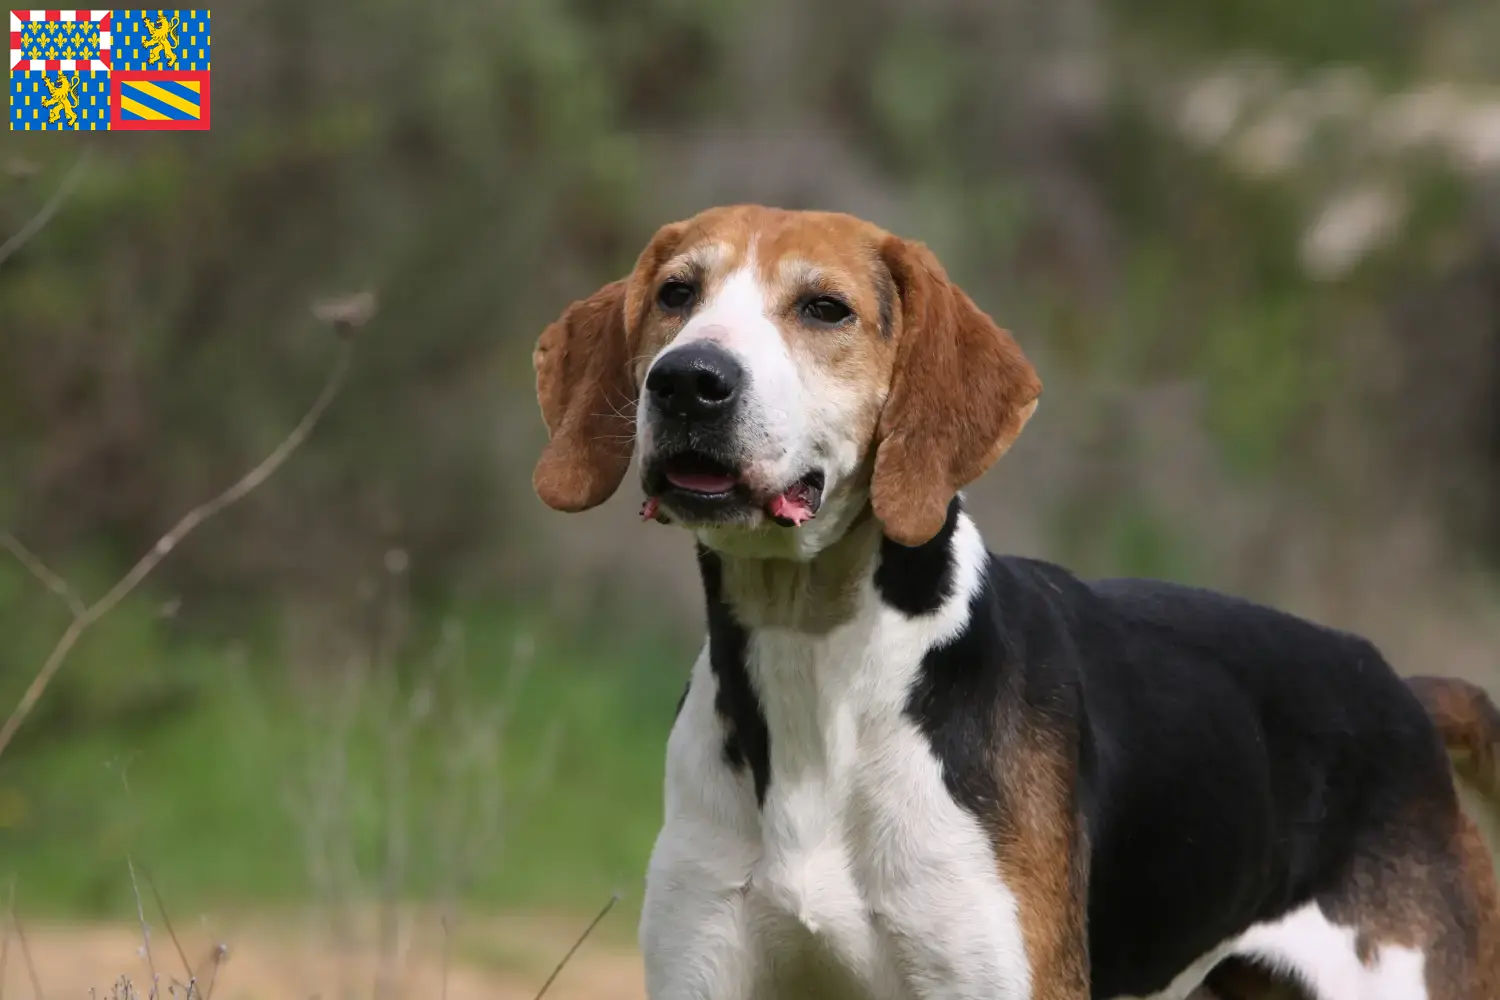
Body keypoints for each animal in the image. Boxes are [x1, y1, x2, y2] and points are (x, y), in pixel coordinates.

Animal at [528, 205, 1500, 1000]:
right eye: (675, 294)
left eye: (825, 309)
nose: (688, 379)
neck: (816, 652)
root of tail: (1405, 694)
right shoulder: (706, 965)